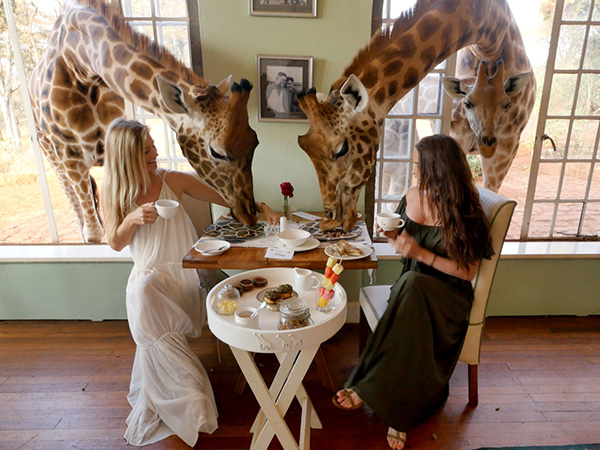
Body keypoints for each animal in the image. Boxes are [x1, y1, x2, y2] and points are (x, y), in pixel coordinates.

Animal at [28, 0, 258, 243]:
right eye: (217, 152)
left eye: (255, 142)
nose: (249, 216)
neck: (82, 63)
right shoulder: (72, 159)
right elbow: (94, 234)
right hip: (54, 158)